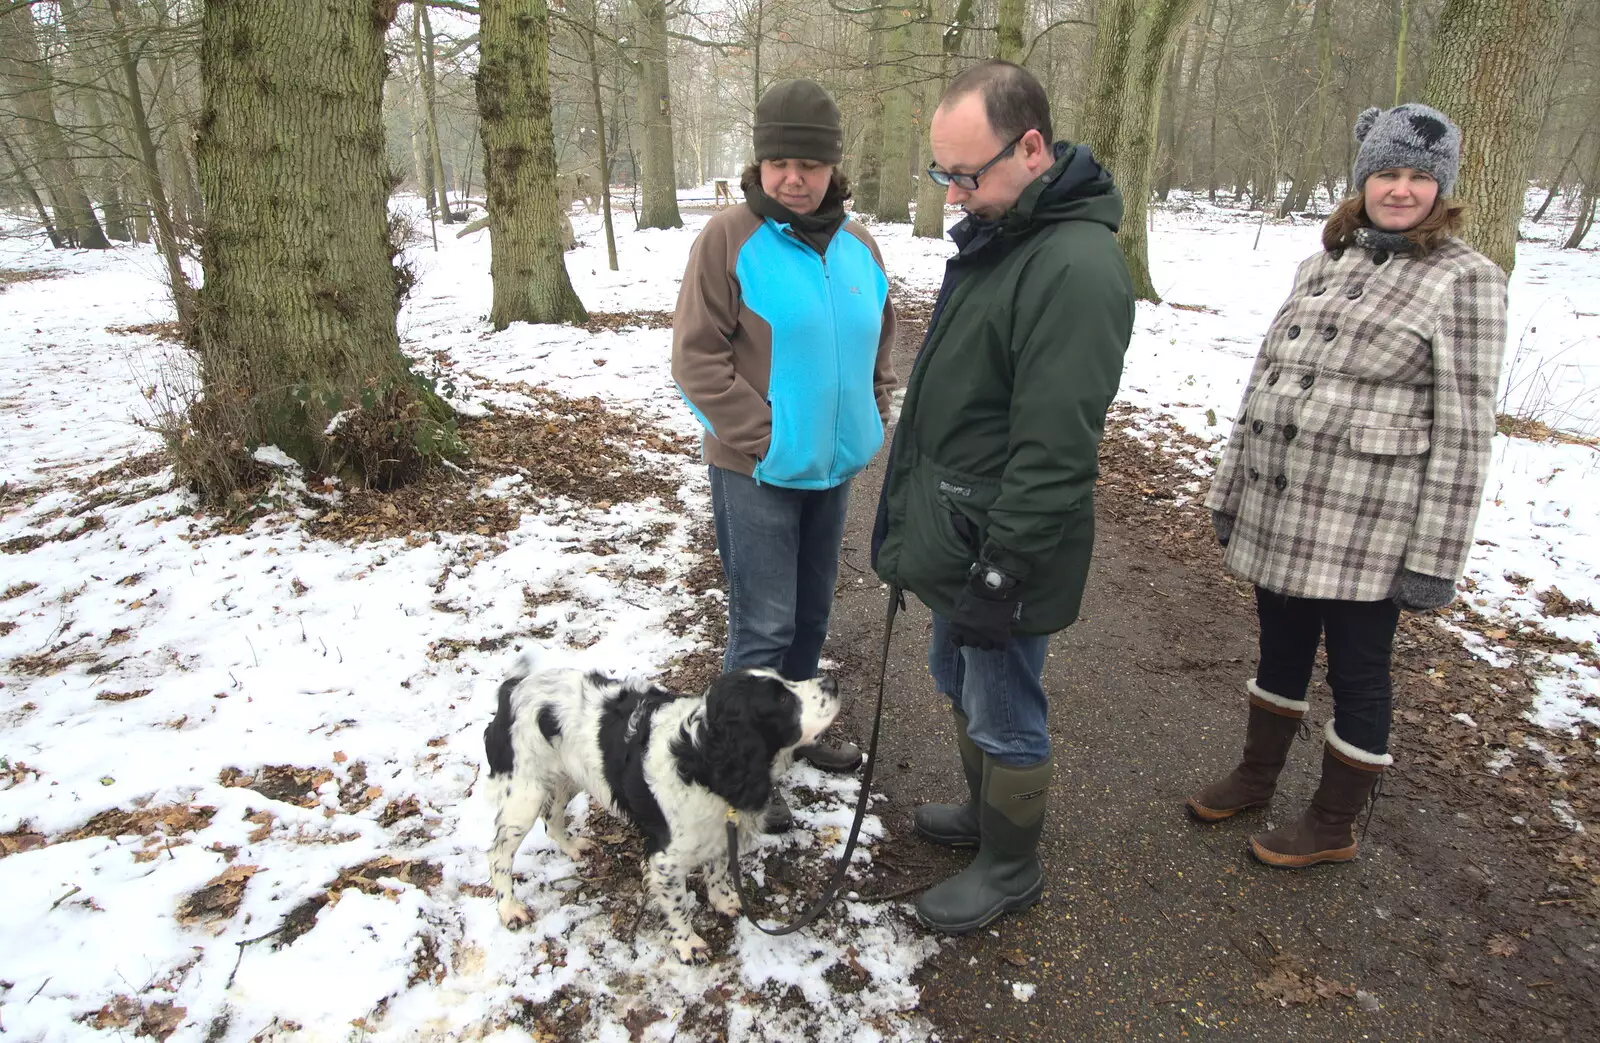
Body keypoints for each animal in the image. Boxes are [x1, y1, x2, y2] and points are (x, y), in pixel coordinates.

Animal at [483, 655, 838, 966]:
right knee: (499, 853)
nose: (832, 683)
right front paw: (689, 945)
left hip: (567, 777)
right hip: (524, 794)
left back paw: (573, 847)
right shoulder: (664, 860)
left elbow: (718, 871)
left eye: (787, 680)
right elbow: (679, 906)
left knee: (552, 818)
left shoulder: (721, 829)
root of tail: (513, 688)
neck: (704, 761)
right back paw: (509, 908)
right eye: (782, 701)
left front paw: (724, 901)